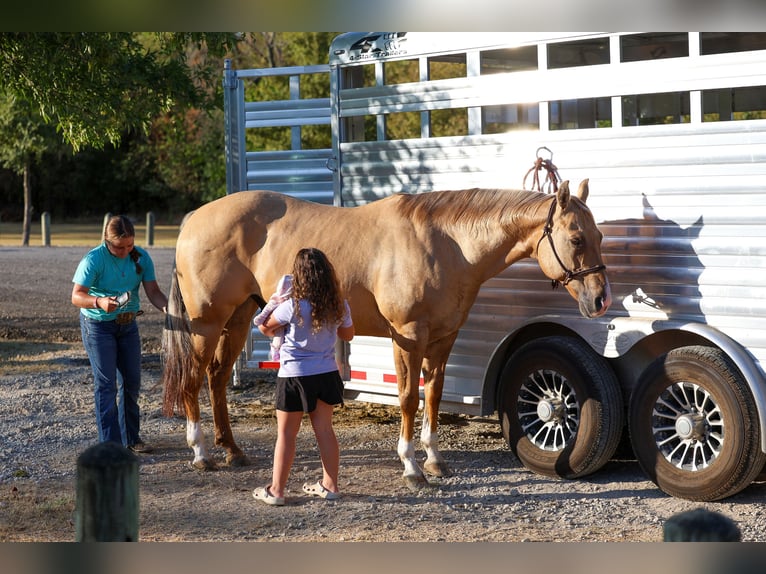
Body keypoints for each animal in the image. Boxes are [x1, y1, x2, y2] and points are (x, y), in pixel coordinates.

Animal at [161, 179, 611, 489]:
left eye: (600, 236)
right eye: (576, 238)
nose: (601, 299)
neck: (447, 244)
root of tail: (193, 220)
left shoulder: (444, 339)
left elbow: (433, 396)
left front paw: (434, 460)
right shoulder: (407, 336)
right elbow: (409, 398)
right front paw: (411, 466)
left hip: (238, 318)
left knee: (217, 378)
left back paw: (232, 450)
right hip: (205, 323)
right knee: (194, 380)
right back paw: (201, 452)